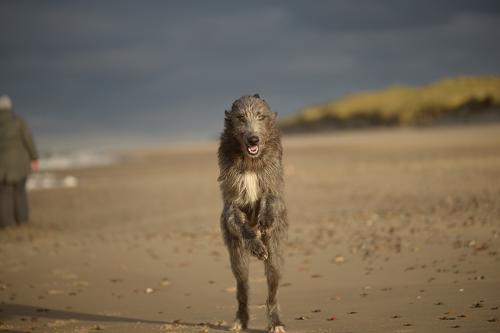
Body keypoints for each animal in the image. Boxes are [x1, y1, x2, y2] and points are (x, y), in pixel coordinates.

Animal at [217, 94, 288, 332]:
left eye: (260, 116)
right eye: (240, 118)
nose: (253, 140)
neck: (250, 162)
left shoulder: (273, 183)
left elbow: (271, 197)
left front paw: (265, 218)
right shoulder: (231, 201)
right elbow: (236, 216)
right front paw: (255, 244)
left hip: (275, 250)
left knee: (273, 287)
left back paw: (276, 322)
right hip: (236, 253)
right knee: (242, 286)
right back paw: (241, 318)